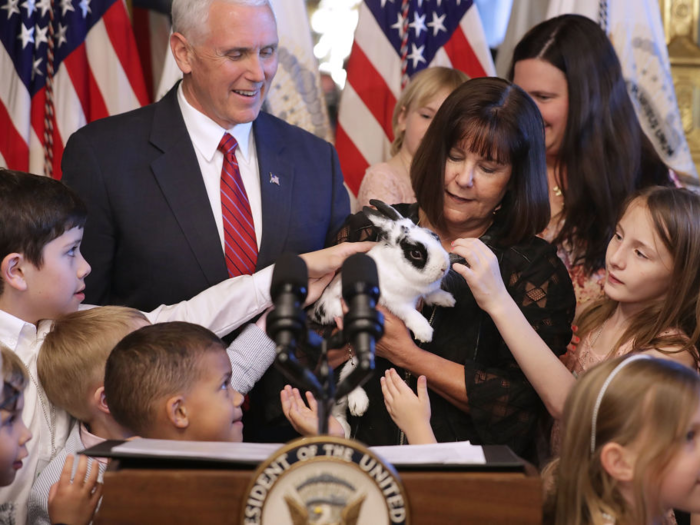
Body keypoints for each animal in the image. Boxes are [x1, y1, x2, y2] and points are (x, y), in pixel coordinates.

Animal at [310, 199, 454, 436]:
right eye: (416, 254)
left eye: (435, 236)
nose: (444, 267)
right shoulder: (395, 302)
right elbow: (410, 313)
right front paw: (425, 332)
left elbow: (430, 294)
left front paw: (447, 299)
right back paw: (355, 409)